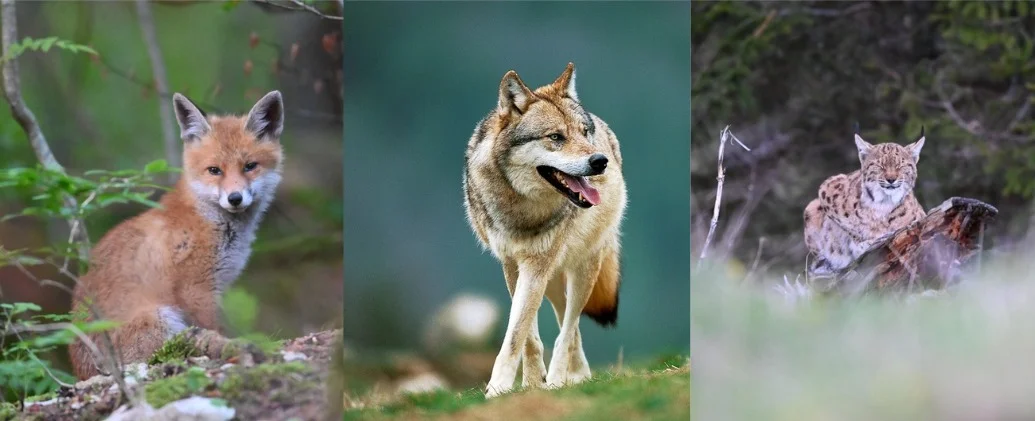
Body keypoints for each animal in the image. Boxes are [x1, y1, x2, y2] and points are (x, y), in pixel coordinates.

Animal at [463, 62, 627, 398]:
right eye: (556, 137)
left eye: (584, 133)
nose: (600, 161)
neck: (520, 206)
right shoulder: (514, 264)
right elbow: (525, 334)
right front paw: (526, 385)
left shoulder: (536, 266)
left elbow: (517, 333)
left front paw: (498, 388)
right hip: (554, 280)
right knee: (568, 323)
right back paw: (576, 376)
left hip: (583, 268)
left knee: (569, 326)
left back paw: (560, 380)